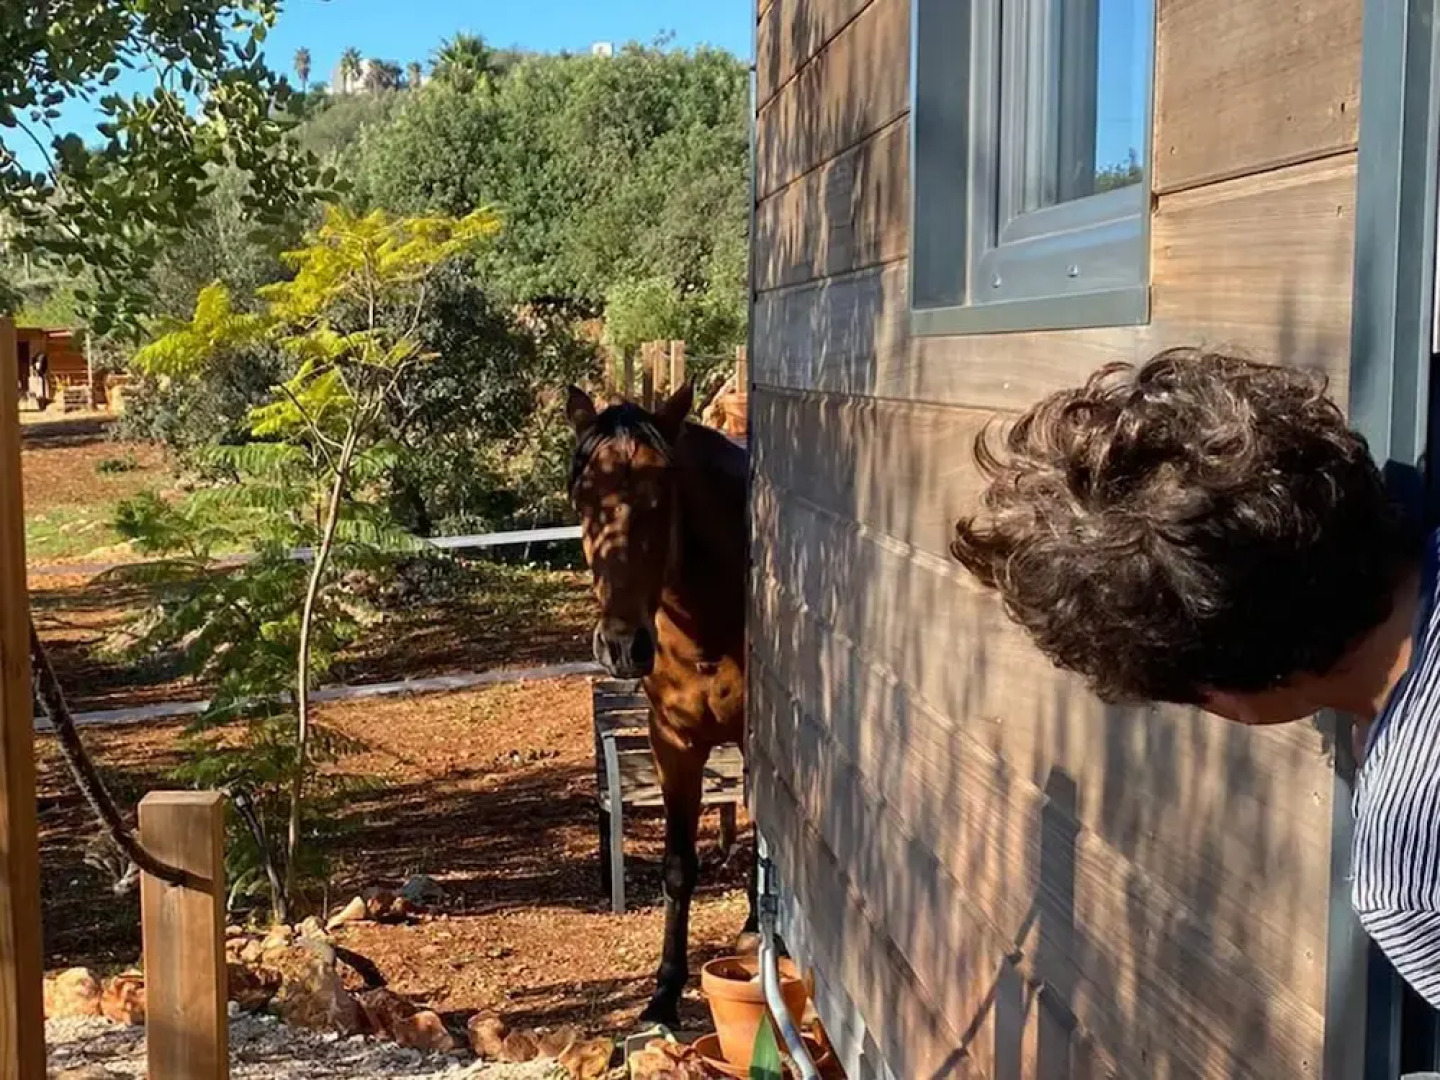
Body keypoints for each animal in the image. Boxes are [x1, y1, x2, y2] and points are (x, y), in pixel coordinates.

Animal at [565, 382, 756, 1026]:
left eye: (660, 496)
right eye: (583, 497)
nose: (624, 646)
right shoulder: (672, 740)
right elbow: (677, 866)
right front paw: (664, 996)